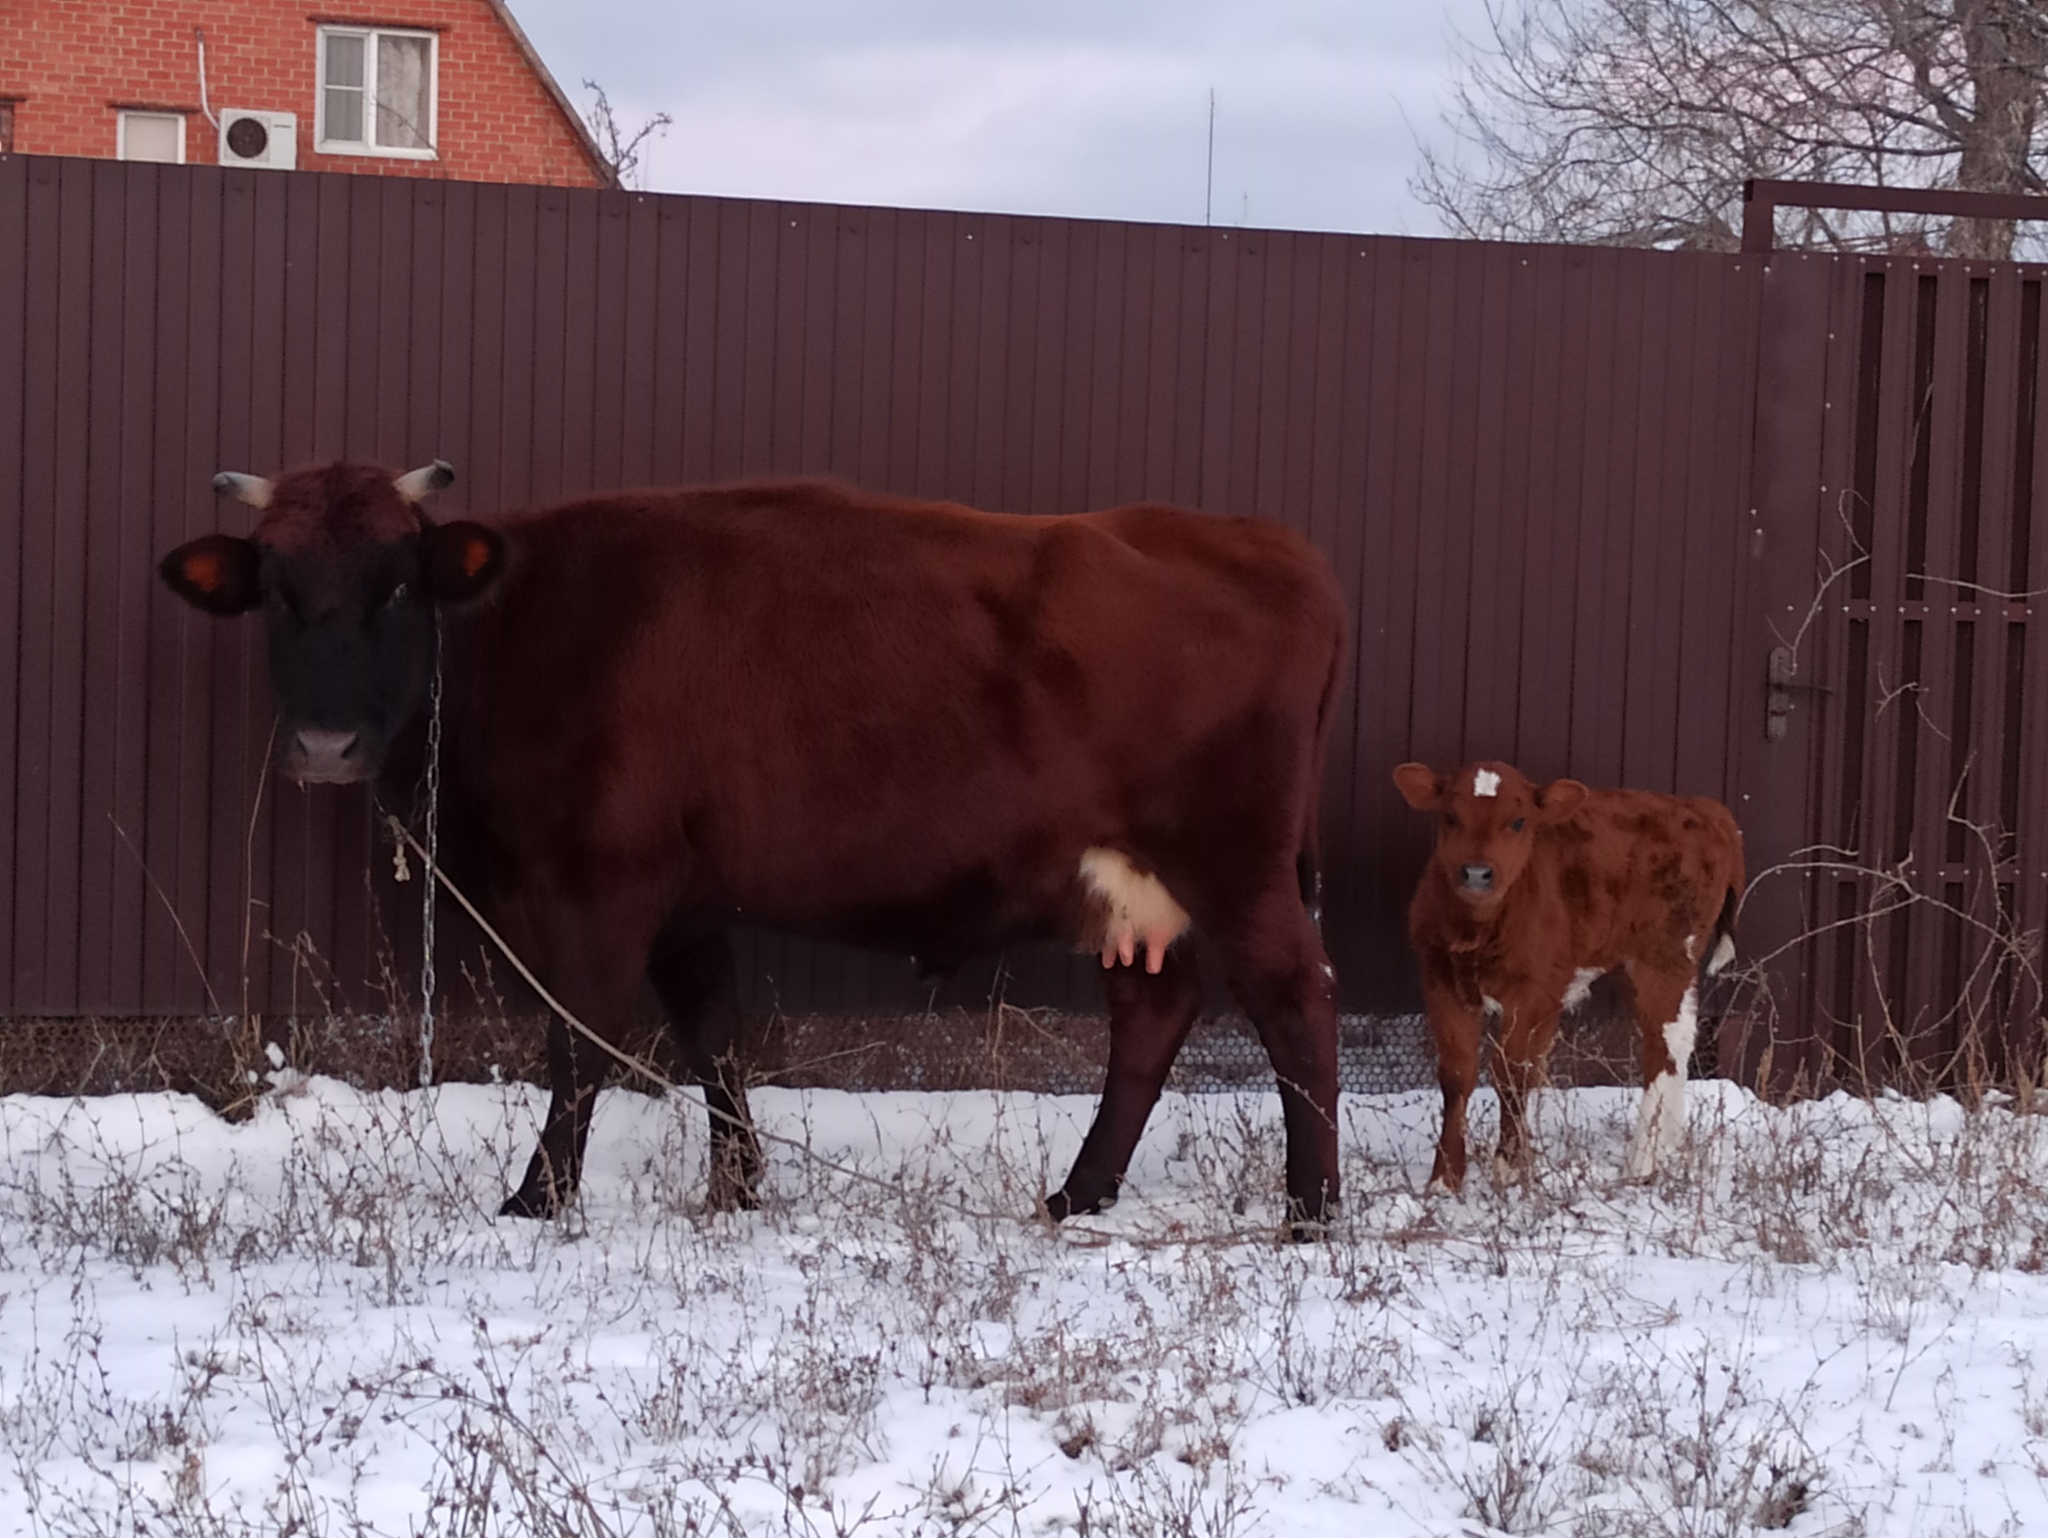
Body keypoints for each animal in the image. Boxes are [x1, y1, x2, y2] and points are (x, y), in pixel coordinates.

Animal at [155, 462, 1343, 1236]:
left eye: (398, 582)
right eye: (274, 589)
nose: (324, 744)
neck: (527, 630)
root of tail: (1265, 542)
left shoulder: (598, 887)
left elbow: (579, 1043)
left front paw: (537, 1199)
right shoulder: (686, 907)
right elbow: (713, 1039)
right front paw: (735, 1188)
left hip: (1234, 863)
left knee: (1295, 1001)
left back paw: (1311, 1208)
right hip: (1134, 887)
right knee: (1152, 1013)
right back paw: (1078, 1193)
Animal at [1392, 765, 1744, 1195]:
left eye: (1519, 821)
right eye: (1450, 816)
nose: (1476, 873)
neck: (1478, 932)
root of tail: (1702, 807)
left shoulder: (1534, 991)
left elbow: (1512, 1072)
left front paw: (1508, 1169)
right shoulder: (1441, 981)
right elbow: (1457, 1075)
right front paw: (1444, 1180)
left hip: (1665, 955)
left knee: (1663, 1045)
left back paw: (1641, 1162)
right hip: (1633, 964)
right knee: (1675, 1040)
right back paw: (1670, 1143)